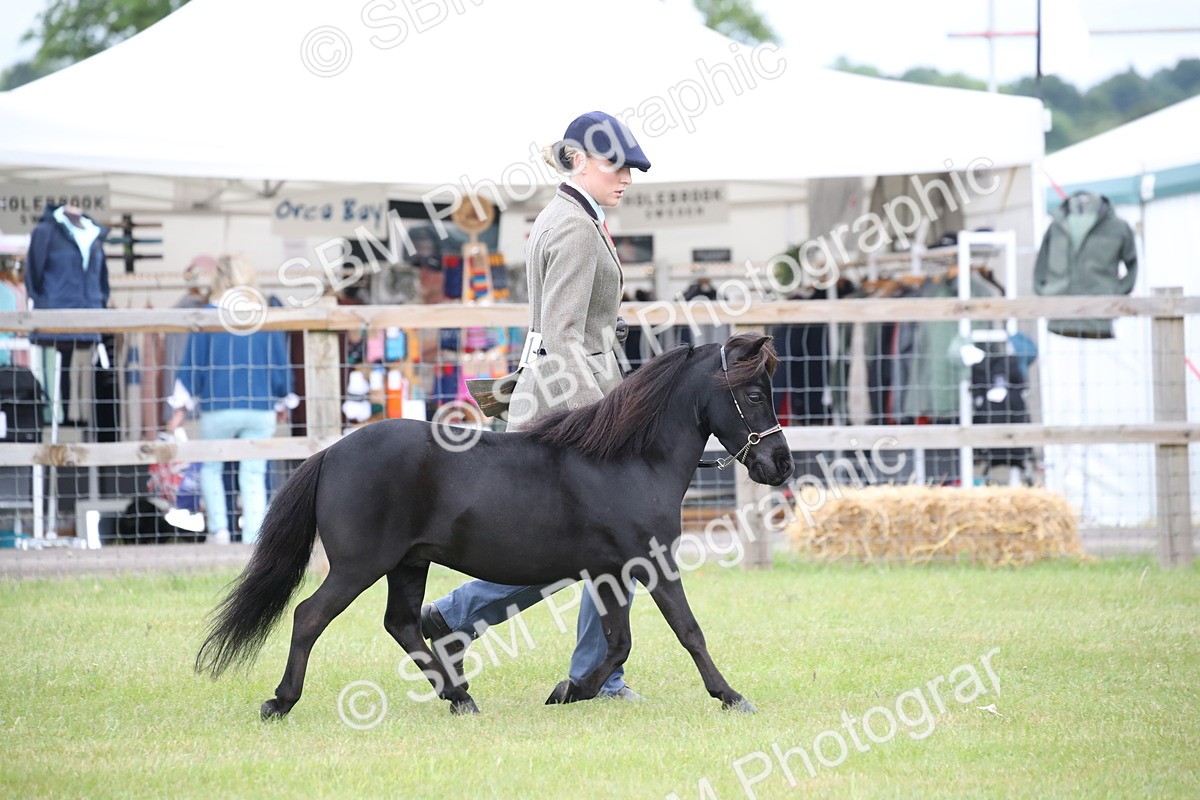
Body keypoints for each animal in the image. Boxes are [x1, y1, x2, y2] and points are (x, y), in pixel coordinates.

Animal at [195, 333, 793, 718]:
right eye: (754, 393)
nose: (781, 465)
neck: (629, 460)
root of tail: (331, 453)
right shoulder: (652, 564)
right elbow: (688, 632)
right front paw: (732, 697)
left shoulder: (610, 574)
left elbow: (618, 642)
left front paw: (569, 691)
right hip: (359, 566)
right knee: (309, 616)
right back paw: (281, 701)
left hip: (409, 563)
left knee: (403, 624)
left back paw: (459, 697)